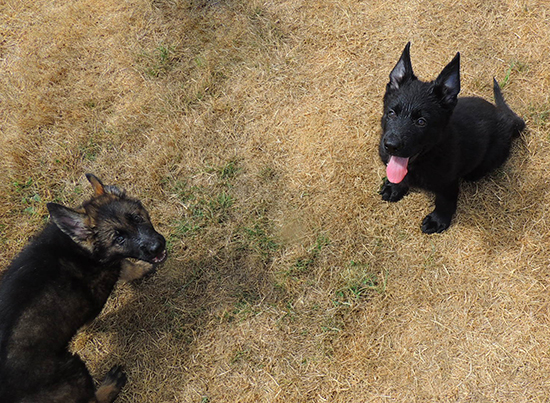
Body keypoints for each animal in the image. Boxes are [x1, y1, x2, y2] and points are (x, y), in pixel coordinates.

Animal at [0, 174, 168, 403]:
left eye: (136, 218)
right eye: (119, 238)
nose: (157, 247)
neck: (79, 246)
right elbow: (123, 267)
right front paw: (141, 269)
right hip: (71, 373)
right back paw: (110, 386)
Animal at [380, 41, 528, 234]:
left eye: (421, 121)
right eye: (391, 113)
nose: (390, 145)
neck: (429, 155)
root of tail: (507, 119)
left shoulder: (448, 182)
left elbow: (445, 200)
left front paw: (438, 220)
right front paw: (394, 187)